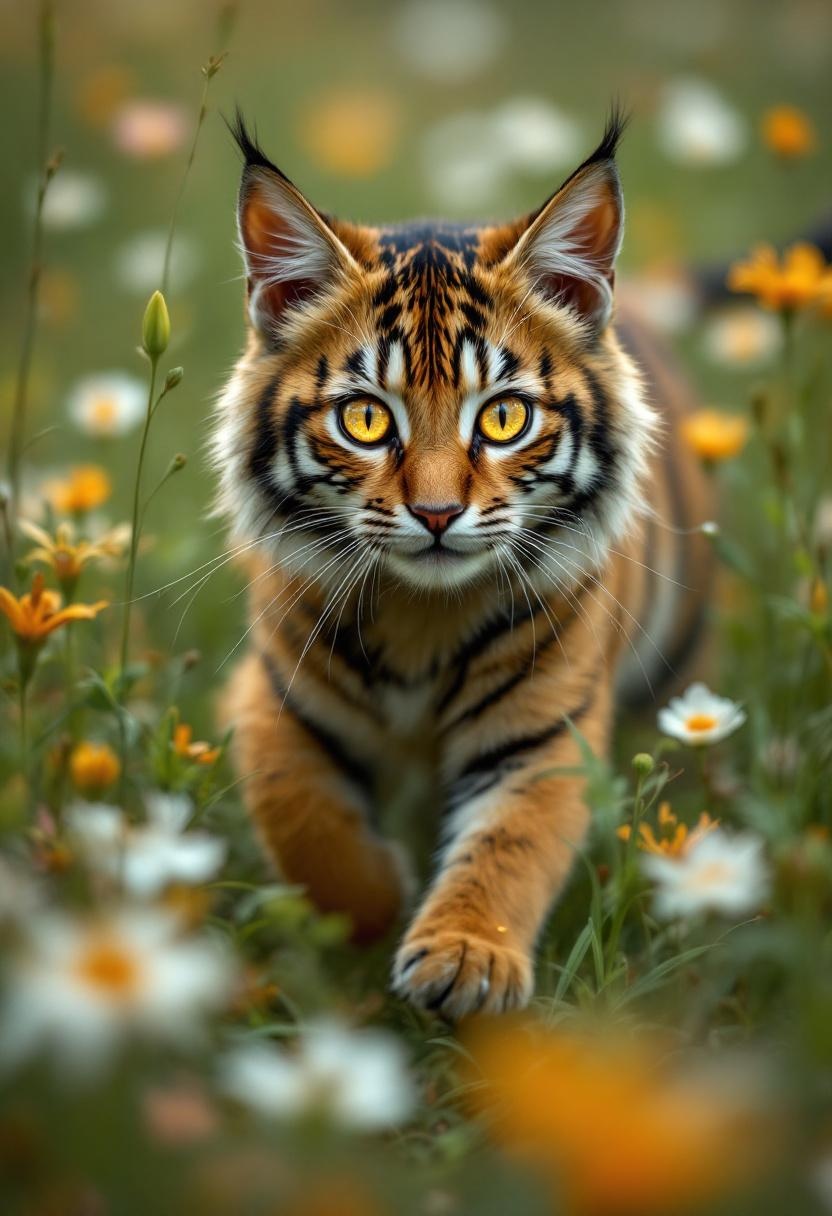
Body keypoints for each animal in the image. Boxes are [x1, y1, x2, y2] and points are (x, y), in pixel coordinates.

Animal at [213, 109, 711, 1019]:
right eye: (367, 420)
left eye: (505, 417)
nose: (439, 515)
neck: (421, 613)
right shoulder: (273, 694)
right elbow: (300, 814)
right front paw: (376, 906)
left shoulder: (544, 729)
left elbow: (511, 845)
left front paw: (465, 961)